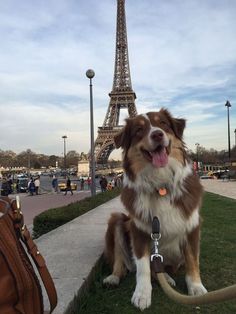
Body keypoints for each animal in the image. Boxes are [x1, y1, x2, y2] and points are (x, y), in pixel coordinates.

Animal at [103, 109, 206, 310]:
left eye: (163, 124)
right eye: (139, 130)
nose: (157, 134)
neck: (160, 185)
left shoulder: (192, 225)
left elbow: (192, 258)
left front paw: (196, 287)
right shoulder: (139, 229)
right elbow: (143, 267)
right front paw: (142, 294)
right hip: (117, 219)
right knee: (128, 262)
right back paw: (114, 277)